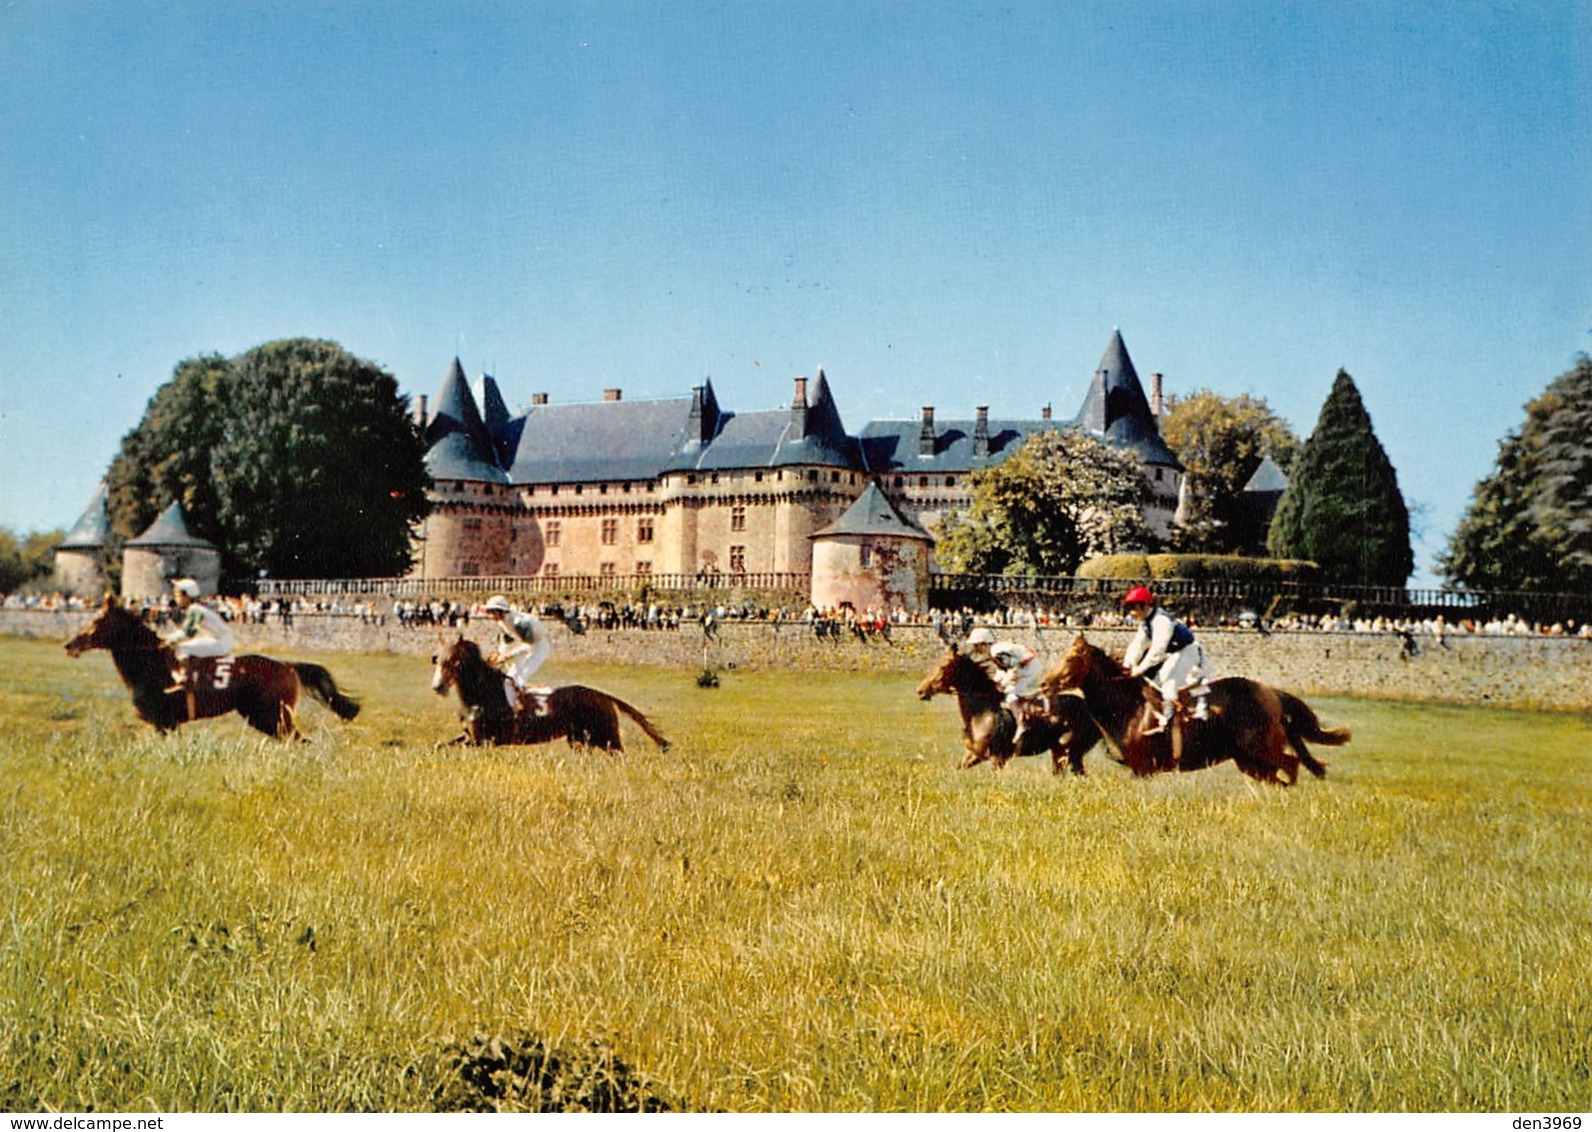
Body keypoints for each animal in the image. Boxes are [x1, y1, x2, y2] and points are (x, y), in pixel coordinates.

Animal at [63, 592, 359, 745]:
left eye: (97, 620)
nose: (69, 644)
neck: (152, 666)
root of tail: (286, 666)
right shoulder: (167, 724)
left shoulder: (164, 722)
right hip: (266, 718)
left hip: (275, 716)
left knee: (299, 741)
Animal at [429, 633, 665, 757]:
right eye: (437, 659)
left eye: (455, 661)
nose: (437, 686)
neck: (483, 695)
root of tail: (602, 695)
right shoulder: (471, 737)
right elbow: (439, 745)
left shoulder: (483, 741)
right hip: (580, 739)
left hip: (606, 737)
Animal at [916, 643, 1101, 773]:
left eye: (943, 667)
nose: (920, 690)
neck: (981, 713)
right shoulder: (974, 755)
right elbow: (957, 768)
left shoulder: (997, 758)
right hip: (1062, 752)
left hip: (1067, 750)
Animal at [1037, 636, 1350, 789]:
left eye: (1071, 659)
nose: (1043, 683)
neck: (1129, 706)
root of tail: (1272, 692)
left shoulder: (1142, 768)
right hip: (1249, 760)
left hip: (1260, 748)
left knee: (1292, 764)